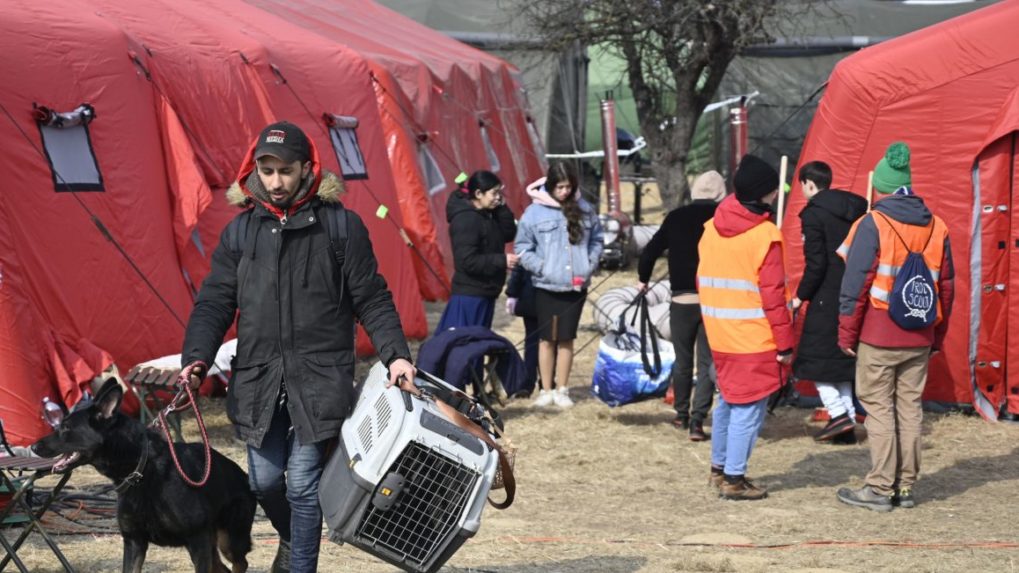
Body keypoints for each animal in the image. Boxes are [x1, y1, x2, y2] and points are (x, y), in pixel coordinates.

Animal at [32, 377, 256, 566]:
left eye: (66, 428)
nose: (33, 447)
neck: (141, 470)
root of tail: (245, 476)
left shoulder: (198, 542)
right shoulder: (134, 542)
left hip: (229, 541)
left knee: (240, 563)